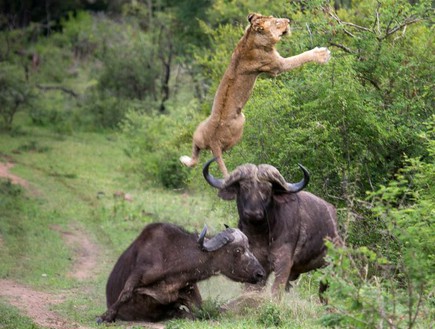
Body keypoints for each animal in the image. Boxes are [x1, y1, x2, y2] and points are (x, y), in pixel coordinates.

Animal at [98, 222, 266, 322]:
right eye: (238, 250)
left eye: (249, 247)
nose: (260, 274)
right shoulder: (140, 272)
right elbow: (125, 294)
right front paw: (106, 316)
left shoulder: (190, 290)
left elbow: (203, 311)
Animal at [204, 158, 344, 298]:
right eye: (244, 188)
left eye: (266, 190)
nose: (253, 213)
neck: (261, 235)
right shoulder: (257, 263)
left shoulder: (283, 262)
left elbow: (276, 291)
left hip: (330, 270)